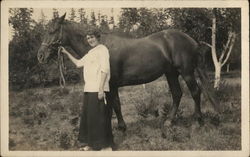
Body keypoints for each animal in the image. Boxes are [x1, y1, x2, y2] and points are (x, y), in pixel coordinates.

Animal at [37, 13, 219, 134]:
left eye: (53, 30)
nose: (40, 56)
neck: (102, 47)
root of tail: (191, 40)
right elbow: (113, 105)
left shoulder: (111, 84)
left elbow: (115, 105)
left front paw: (121, 128)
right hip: (171, 73)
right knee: (177, 94)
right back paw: (168, 122)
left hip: (186, 72)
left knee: (195, 92)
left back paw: (197, 121)